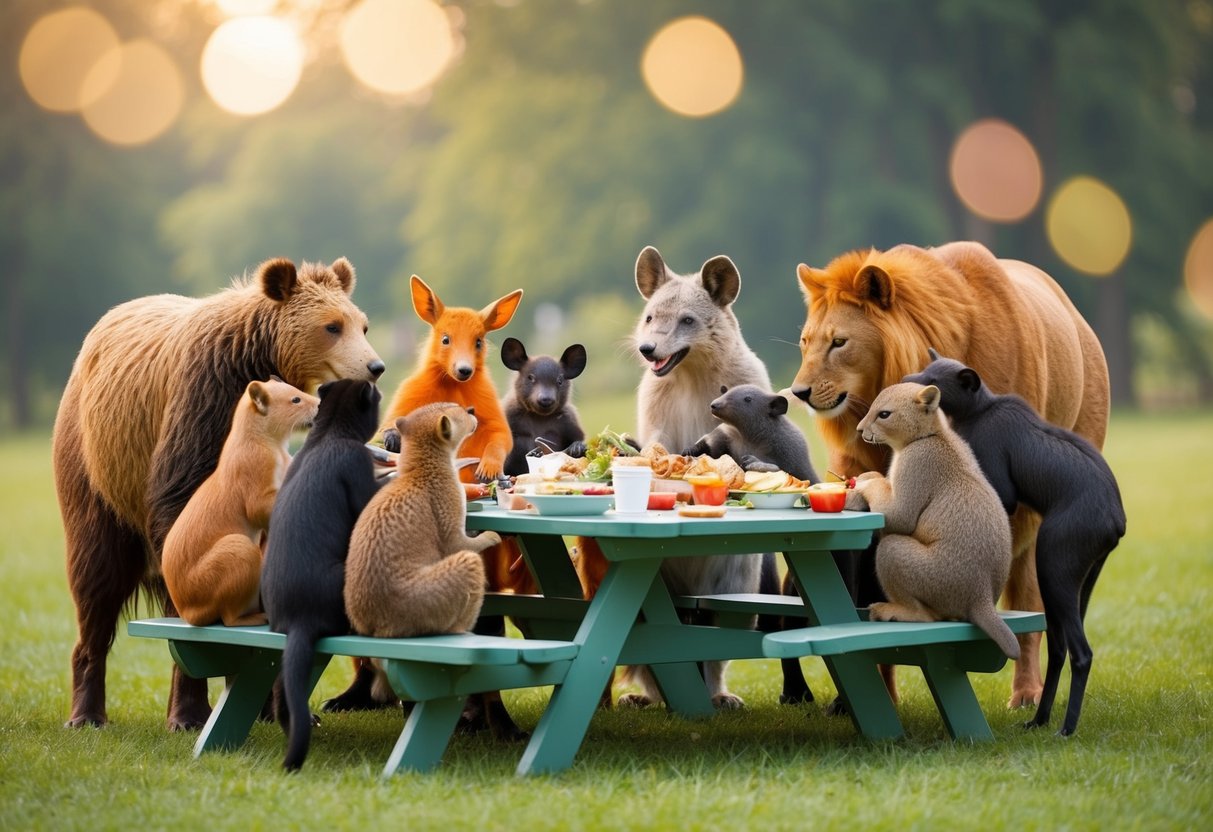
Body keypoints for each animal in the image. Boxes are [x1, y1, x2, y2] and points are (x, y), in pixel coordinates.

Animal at [50, 255, 383, 727]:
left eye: (362, 325)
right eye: (332, 326)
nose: (375, 367)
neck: (257, 358)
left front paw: (281, 705)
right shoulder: (203, 405)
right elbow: (184, 517)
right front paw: (189, 711)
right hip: (94, 466)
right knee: (96, 578)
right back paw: (86, 712)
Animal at [378, 275, 521, 482]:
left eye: (479, 342)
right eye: (445, 339)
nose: (464, 370)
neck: (454, 384)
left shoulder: (491, 411)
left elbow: (500, 438)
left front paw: (489, 468)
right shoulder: (408, 395)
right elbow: (388, 427)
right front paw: (393, 439)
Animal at [790, 241, 1111, 708]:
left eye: (839, 342)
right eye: (805, 342)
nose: (797, 392)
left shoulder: (1005, 497)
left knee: (1033, 607)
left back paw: (1027, 694)